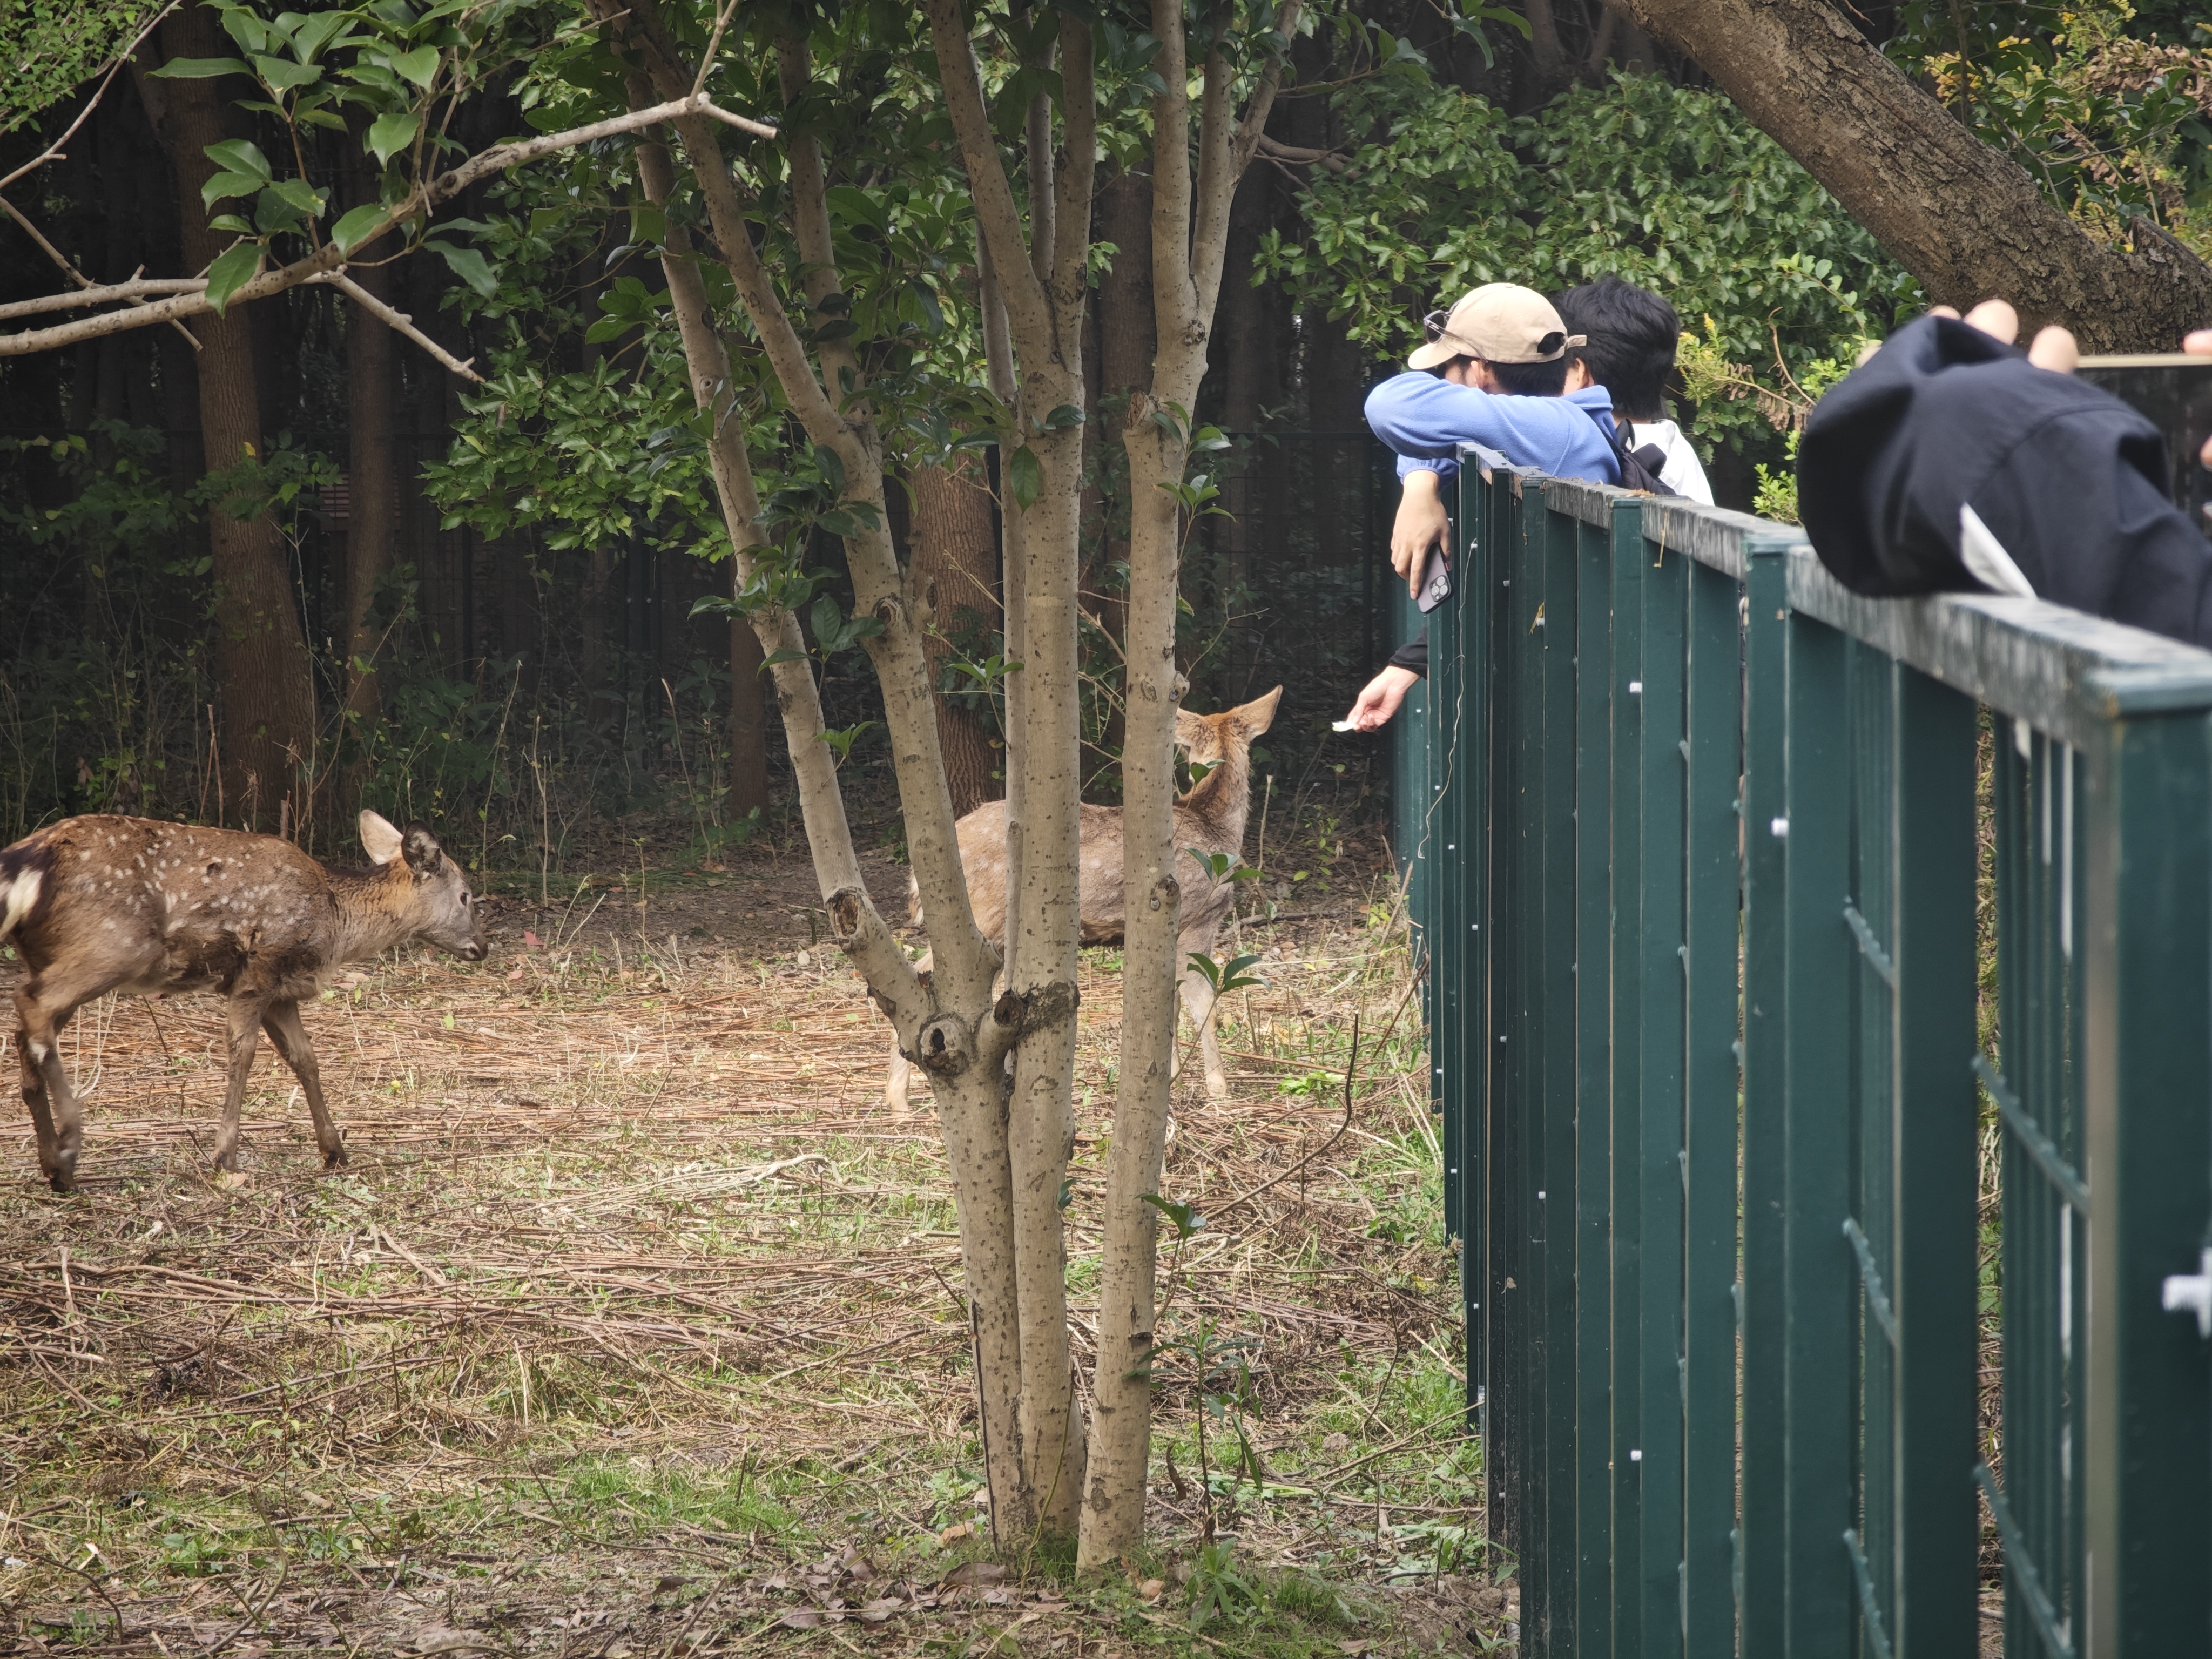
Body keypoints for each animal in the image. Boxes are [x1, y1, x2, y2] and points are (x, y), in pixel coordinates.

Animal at [0, 810, 487, 1185]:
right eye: (465, 896)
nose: (482, 947)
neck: (335, 920)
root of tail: (27, 861)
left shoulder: (282, 993)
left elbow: (306, 1060)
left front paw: (334, 1152)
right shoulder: (259, 971)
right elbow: (244, 1053)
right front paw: (224, 1158)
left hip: (53, 956)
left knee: (26, 1029)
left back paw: (54, 1165)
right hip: (113, 946)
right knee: (32, 1006)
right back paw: (69, 1144)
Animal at [880, 690, 1283, 1119]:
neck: (1215, 829)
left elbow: (1169, 1003)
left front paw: (1170, 1078)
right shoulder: (1197, 920)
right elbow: (1204, 1004)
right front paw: (1220, 1090)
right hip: (987, 916)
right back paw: (899, 1096)